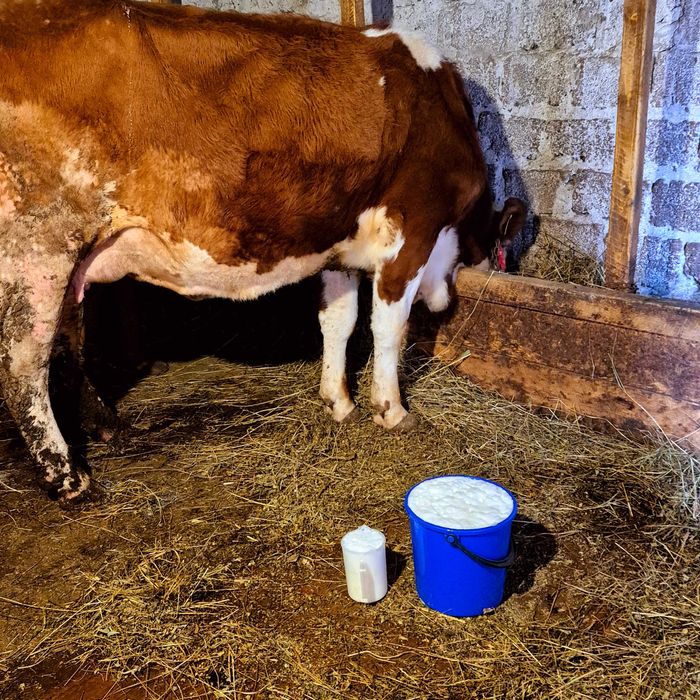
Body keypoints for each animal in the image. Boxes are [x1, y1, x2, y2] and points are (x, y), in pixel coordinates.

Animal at [0, 0, 525, 505]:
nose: (450, 301)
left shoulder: (337, 245)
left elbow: (338, 321)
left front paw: (338, 402)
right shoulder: (411, 230)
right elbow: (387, 328)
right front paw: (391, 410)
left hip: (72, 254)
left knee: (66, 342)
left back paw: (106, 424)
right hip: (39, 243)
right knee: (23, 363)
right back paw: (67, 477)